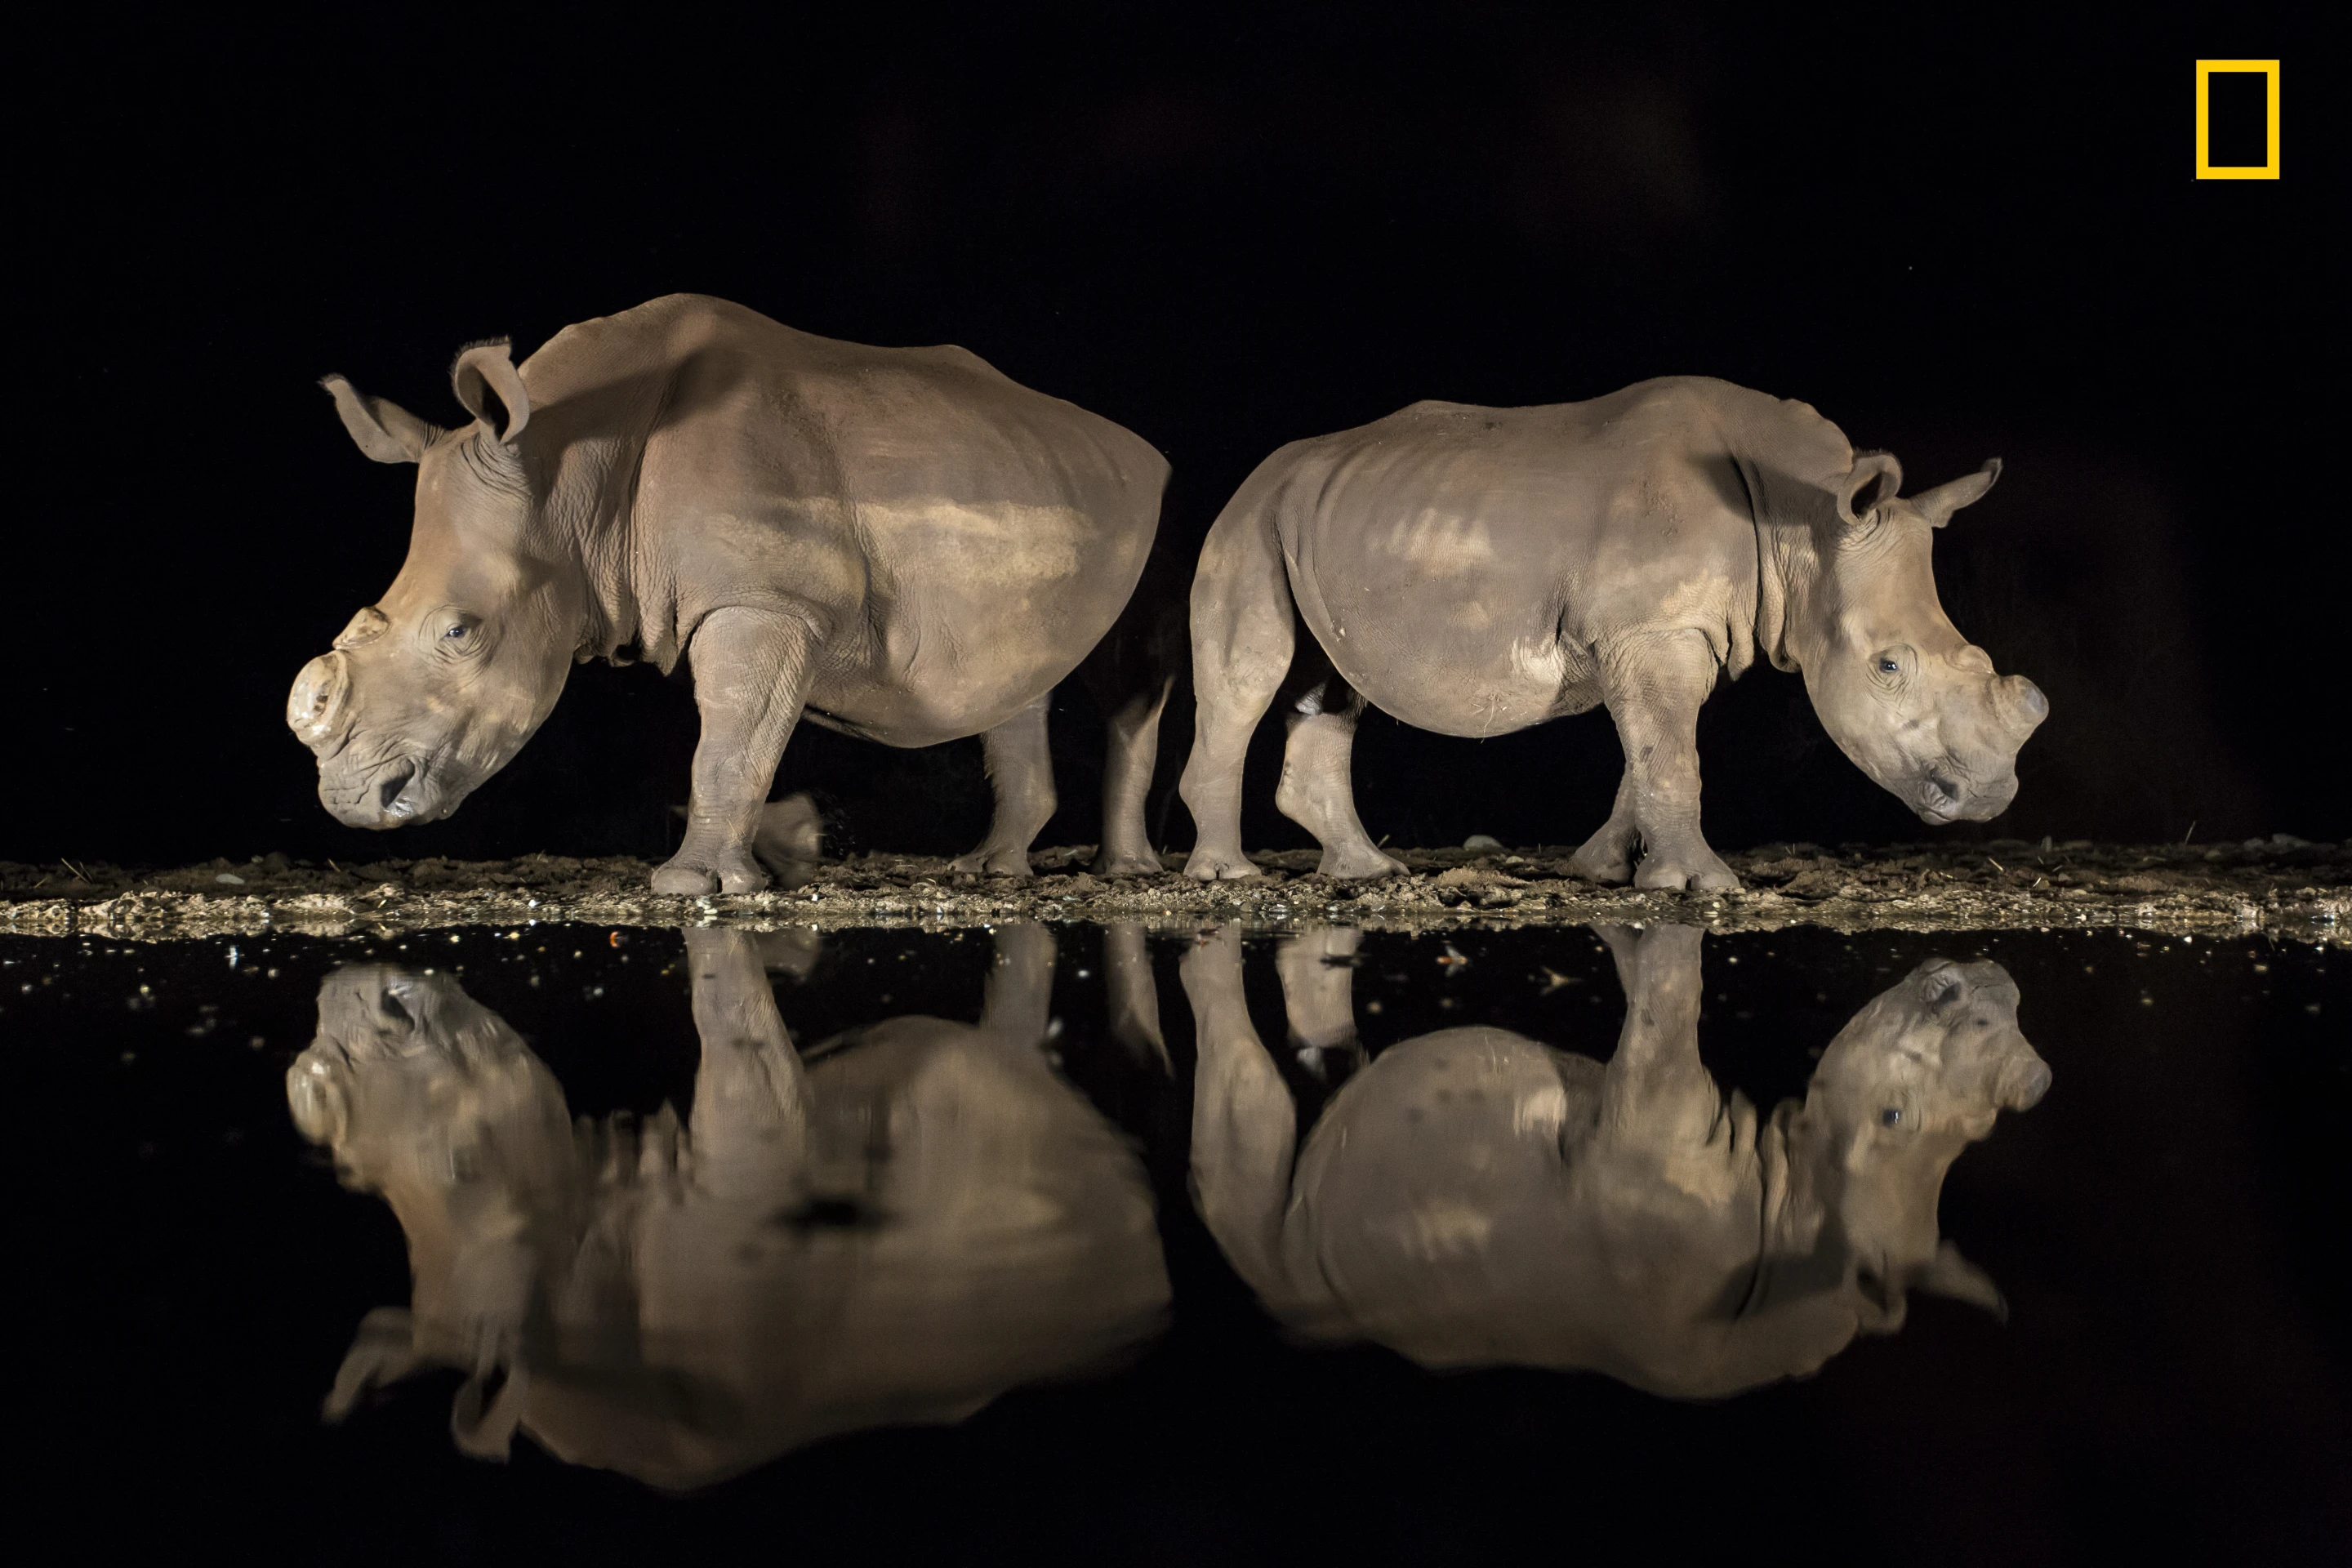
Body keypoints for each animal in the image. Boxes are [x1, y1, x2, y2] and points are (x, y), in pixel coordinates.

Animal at [287, 295, 1173, 892]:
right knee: (1019, 677)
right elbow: (736, 732)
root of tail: (1134, 444)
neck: (568, 466)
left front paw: (695, 886)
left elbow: (732, 732)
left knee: (1129, 680)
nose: (353, 802)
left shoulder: (766, 597)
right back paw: (988, 870)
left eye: (460, 633)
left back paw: (1128, 874)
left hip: (1156, 506)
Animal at [1178, 378, 2048, 888]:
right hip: (1249, 519)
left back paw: (1366, 871)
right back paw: (1228, 879)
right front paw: (1704, 886)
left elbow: (1653, 752)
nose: (1989, 796)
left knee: (1332, 685)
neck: (1803, 518)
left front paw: (1601, 870)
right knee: (1252, 673)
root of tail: (1266, 473)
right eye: (1890, 666)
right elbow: (1673, 755)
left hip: (1323, 522)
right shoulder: (1653, 627)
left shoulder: (1671, 630)